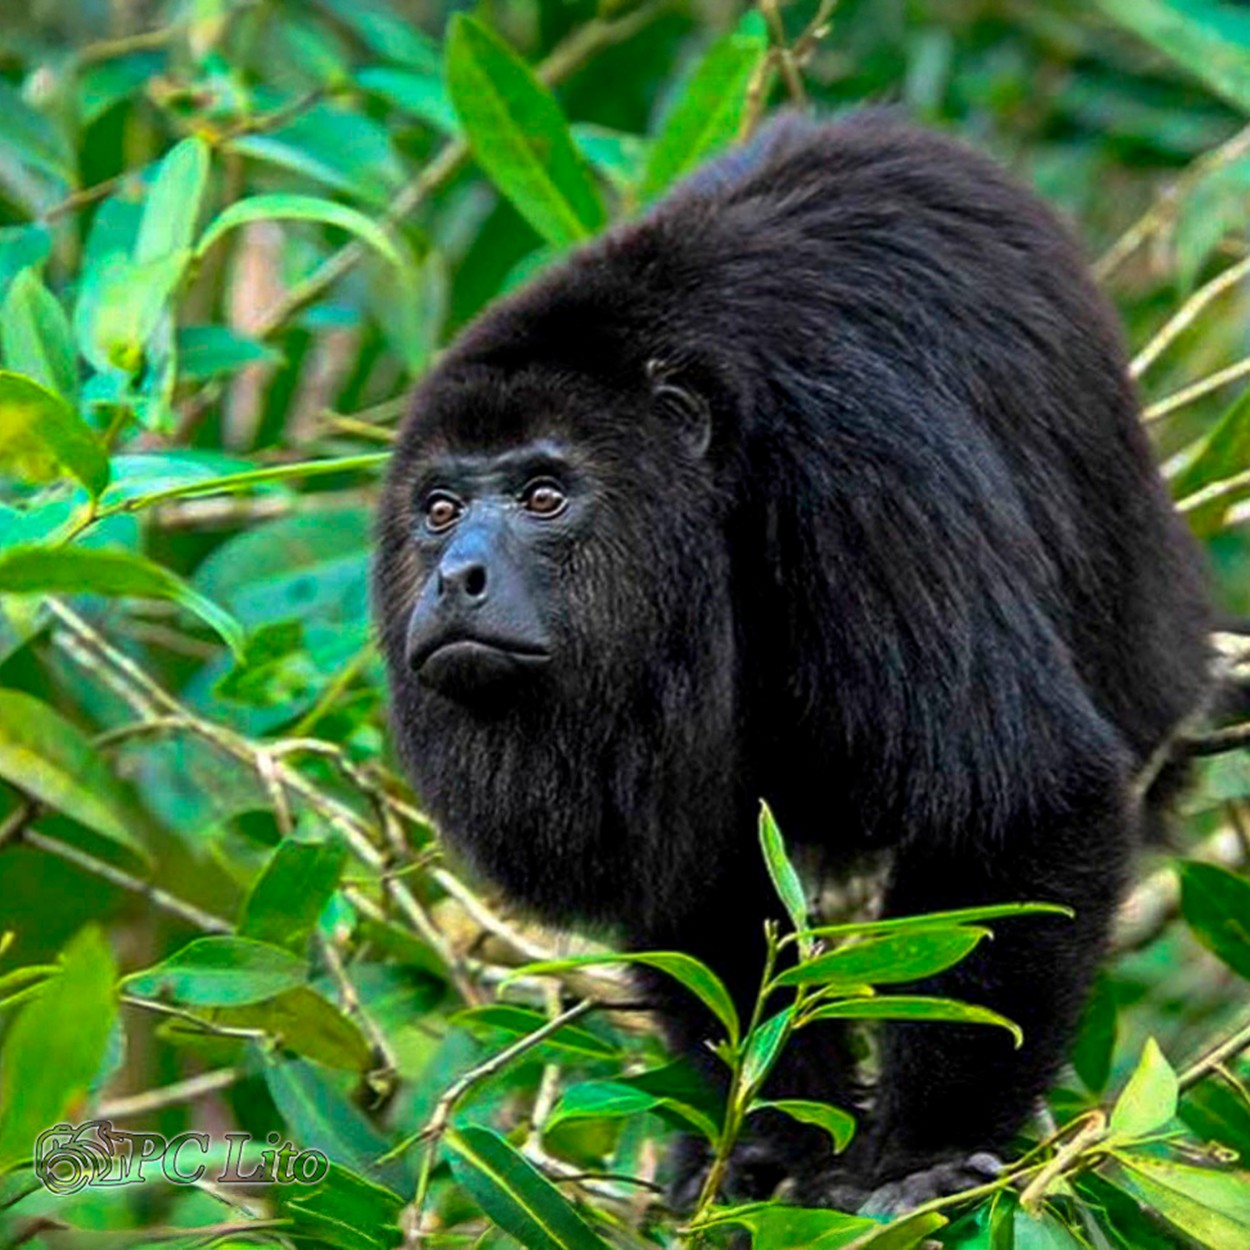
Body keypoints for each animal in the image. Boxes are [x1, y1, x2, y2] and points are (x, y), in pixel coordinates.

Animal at [372, 115, 1210, 1210]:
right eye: (438, 510)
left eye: (543, 495)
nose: (455, 574)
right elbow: (699, 887)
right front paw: (770, 1147)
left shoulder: (854, 463)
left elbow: (1020, 797)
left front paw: (924, 1153)